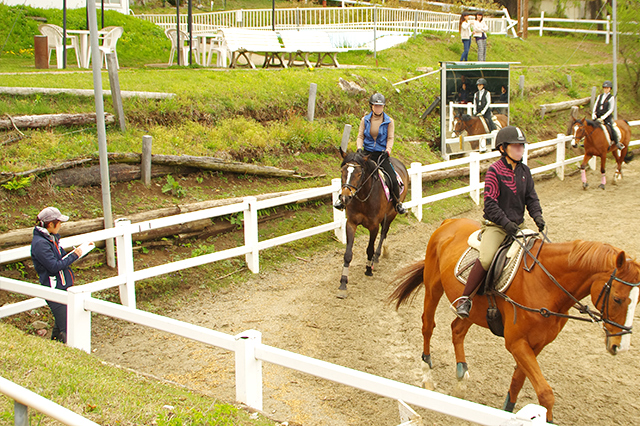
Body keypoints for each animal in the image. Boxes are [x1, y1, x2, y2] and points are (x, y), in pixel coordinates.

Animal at [338, 150, 408, 300]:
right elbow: (348, 254)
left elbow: (370, 248)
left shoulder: (373, 226)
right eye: (343, 171)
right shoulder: (351, 223)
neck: (364, 197)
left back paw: (376, 257)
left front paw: (368, 269)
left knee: (384, 233)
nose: (345, 197)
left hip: (392, 213)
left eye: (359, 174)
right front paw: (343, 284)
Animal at [390, 218, 640, 424]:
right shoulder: (517, 343)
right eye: (617, 299)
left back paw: (461, 375)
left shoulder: (535, 345)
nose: (620, 346)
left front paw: (507, 411)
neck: (545, 283)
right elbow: (545, 393)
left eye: (637, 301)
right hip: (433, 287)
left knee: (457, 329)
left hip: (475, 309)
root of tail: (448, 222)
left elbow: (519, 381)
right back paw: (427, 374)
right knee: (428, 325)